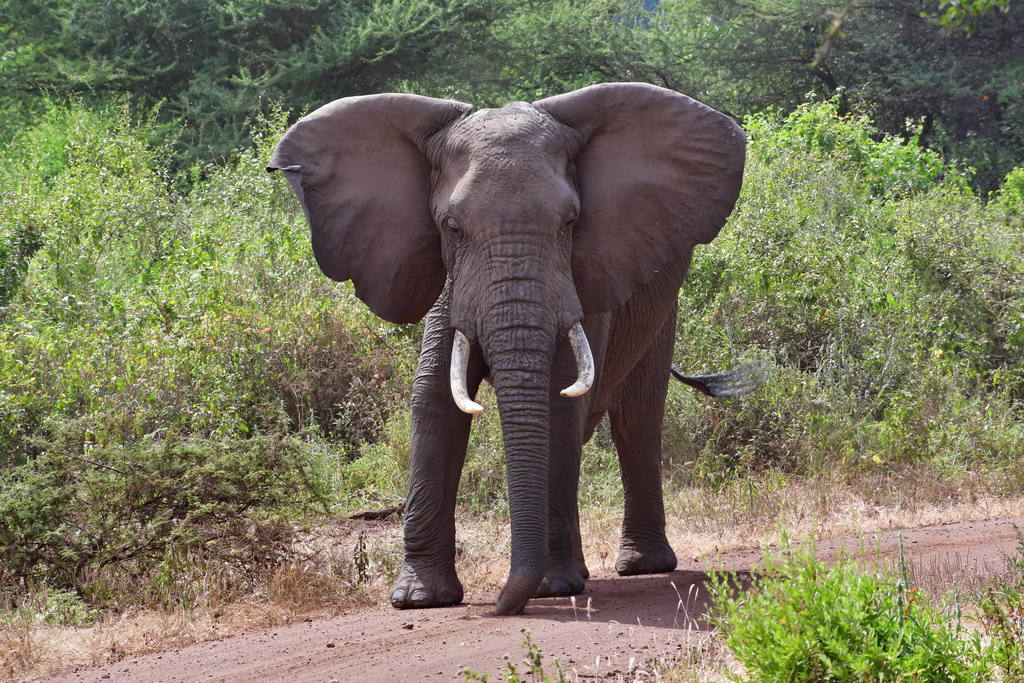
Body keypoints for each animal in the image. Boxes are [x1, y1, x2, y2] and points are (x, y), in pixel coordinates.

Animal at [266, 82, 745, 618]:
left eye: (571, 222)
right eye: (452, 227)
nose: (496, 606)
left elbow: (560, 399)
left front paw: (551, 589)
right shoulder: (448, 279)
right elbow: (434, 398)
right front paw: (419, 600)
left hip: (661, 304)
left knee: (637, 419)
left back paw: (638, 567)